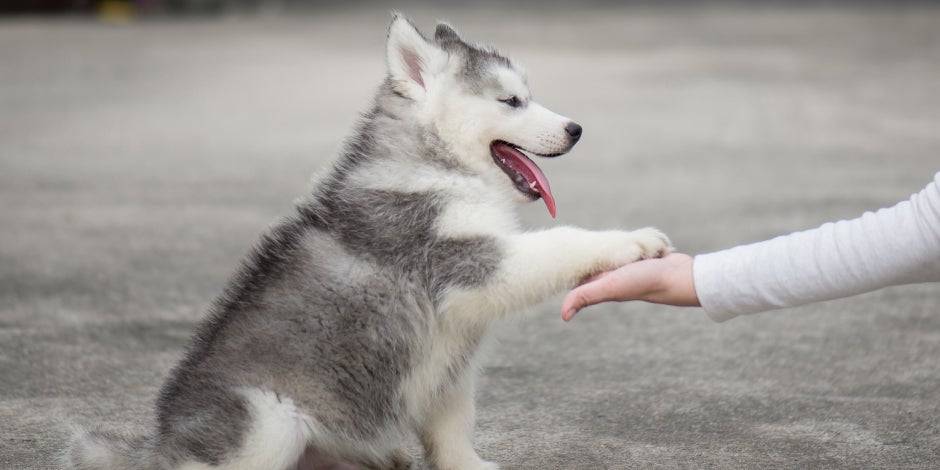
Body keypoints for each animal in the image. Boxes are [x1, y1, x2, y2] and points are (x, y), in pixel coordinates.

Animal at [66, 12, 668, 470]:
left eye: (527, 96)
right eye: (511, 101)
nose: (576, 129)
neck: (437, 165)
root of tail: (161, 443)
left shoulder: (450, 357)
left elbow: (452, 426)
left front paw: (466, 464)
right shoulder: (465, 262)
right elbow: (560, 242)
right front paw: (632, 241)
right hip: (267, 420)